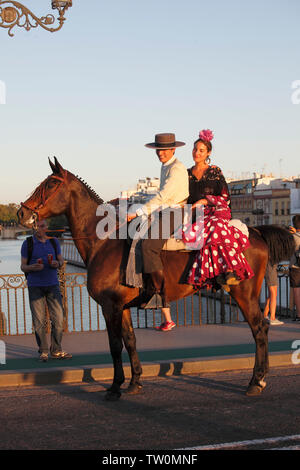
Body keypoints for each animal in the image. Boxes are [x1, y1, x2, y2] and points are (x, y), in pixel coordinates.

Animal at [17, 159, 296, 400]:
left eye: (50, 184)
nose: (21, 212)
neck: (104, 242)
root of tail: (256, 231)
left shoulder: (110, 307)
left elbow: (114, 346)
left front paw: (115, 387)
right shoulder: (123, 307)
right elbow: (130, 342)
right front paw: (134, 382)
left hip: (244, 293)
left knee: (259, 329)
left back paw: (256, 381)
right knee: (261, 328)